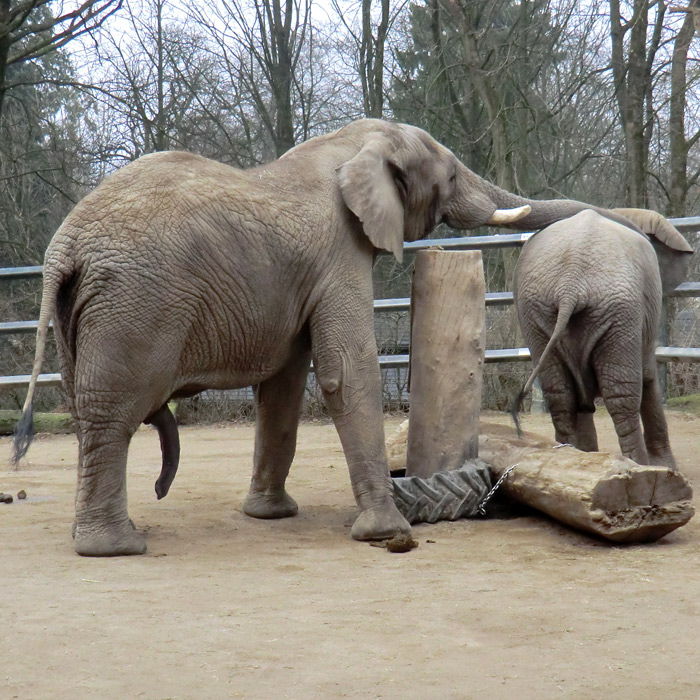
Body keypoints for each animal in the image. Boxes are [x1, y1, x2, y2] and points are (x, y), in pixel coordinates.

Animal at [15, 120, 640, 556]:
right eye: (450, 177)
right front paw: (388, 533)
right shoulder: (341, 253)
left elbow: (284, 388)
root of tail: (62, 246)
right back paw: (116, 547)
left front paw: (272, 516)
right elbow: (346, 370)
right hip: (133, 306)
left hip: (86, 314)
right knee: (113, 414)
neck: (349, 143)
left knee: (86, 412)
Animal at [512, 209, 692, 470]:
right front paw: (667, 467)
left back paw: (571, 454)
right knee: (622, 395)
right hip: (621, 311)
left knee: (560, 395)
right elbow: (648, 379)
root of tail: (570, 284)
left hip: (536, 312)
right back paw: (639, 467)